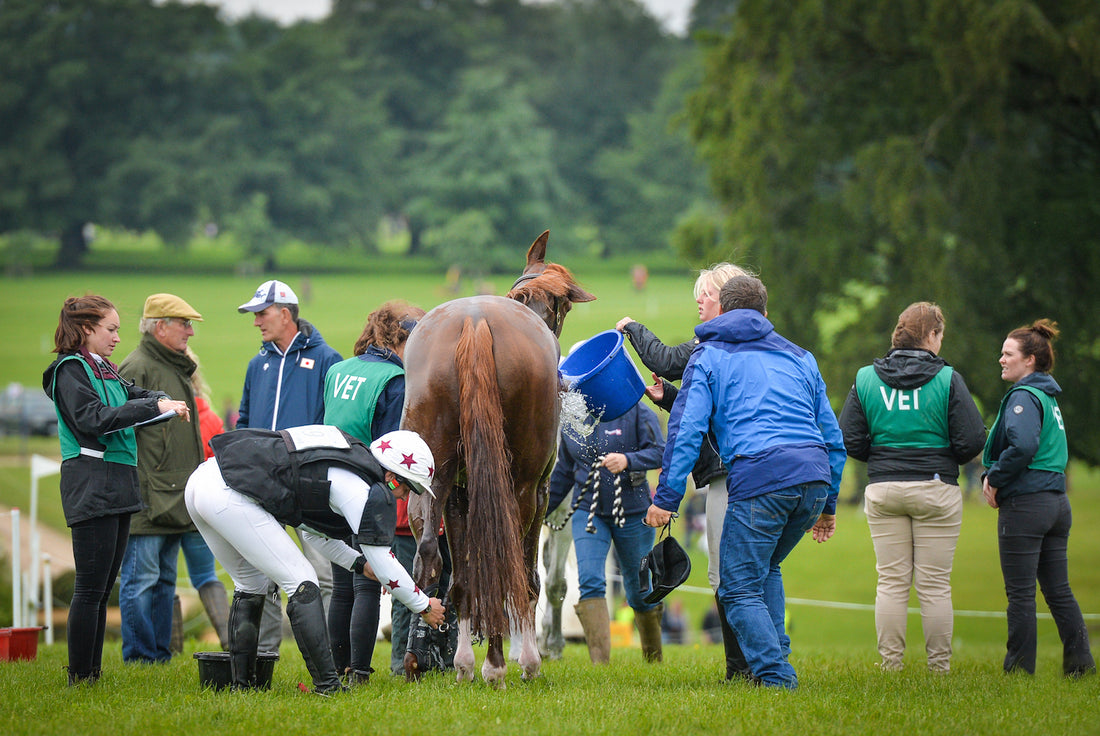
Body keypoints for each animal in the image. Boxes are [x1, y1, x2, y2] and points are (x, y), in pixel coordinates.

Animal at [402, 232, 594, 686]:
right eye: (566, 309)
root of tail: (475, 322)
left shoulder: (459, 494)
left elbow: (465, 576)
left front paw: (468, 661)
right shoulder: (540, 493)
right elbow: (526, 577)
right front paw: (520, 657)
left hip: (432, 479)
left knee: (430, 559)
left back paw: (437, 659)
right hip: (522, 488)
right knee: (510, 567)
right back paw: (507, 663)